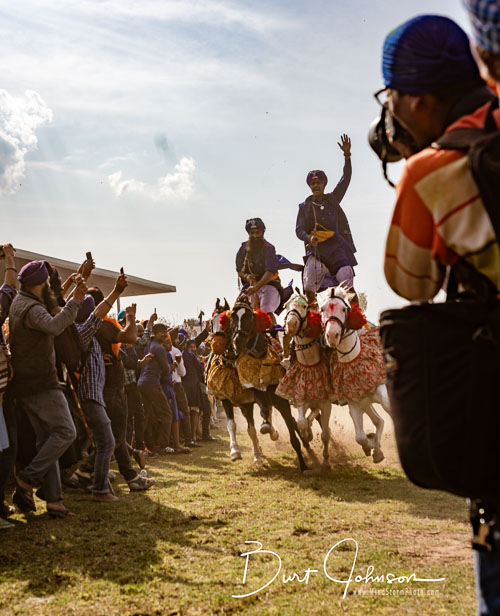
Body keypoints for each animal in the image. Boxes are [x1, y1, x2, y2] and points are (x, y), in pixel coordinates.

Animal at [276, 292, 334, 470]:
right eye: (286, 306)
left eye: (305, 306)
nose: (291, 324)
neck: (309, 365)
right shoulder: (300, 398)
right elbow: (301, 422)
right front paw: (307, 435)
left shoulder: (326, 403)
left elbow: (325, 434)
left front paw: (326, 461)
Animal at [318, 288, 392, 462]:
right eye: (322, 309)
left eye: (344, 309)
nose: (332, 335)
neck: (352, 360)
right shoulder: (354, 403)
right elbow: (360, 437)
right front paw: (371, 446)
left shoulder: (381, 390)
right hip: (366, 403)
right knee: (379, 421)